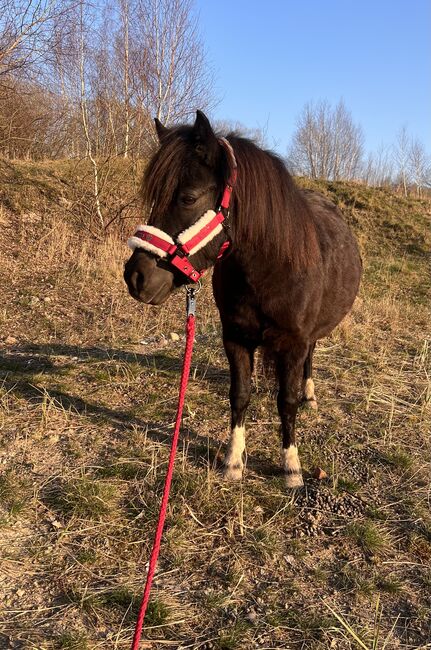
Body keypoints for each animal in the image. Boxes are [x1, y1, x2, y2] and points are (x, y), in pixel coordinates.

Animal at [125, 111, 364, 486]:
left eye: (188, 198)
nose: (136, 277)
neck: (270, 268)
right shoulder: (235, 337)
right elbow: (239, 396)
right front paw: (232, 460)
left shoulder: (294, 341)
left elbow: (286, 402)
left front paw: (291, 466)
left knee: (310, 360)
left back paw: (309, 395)